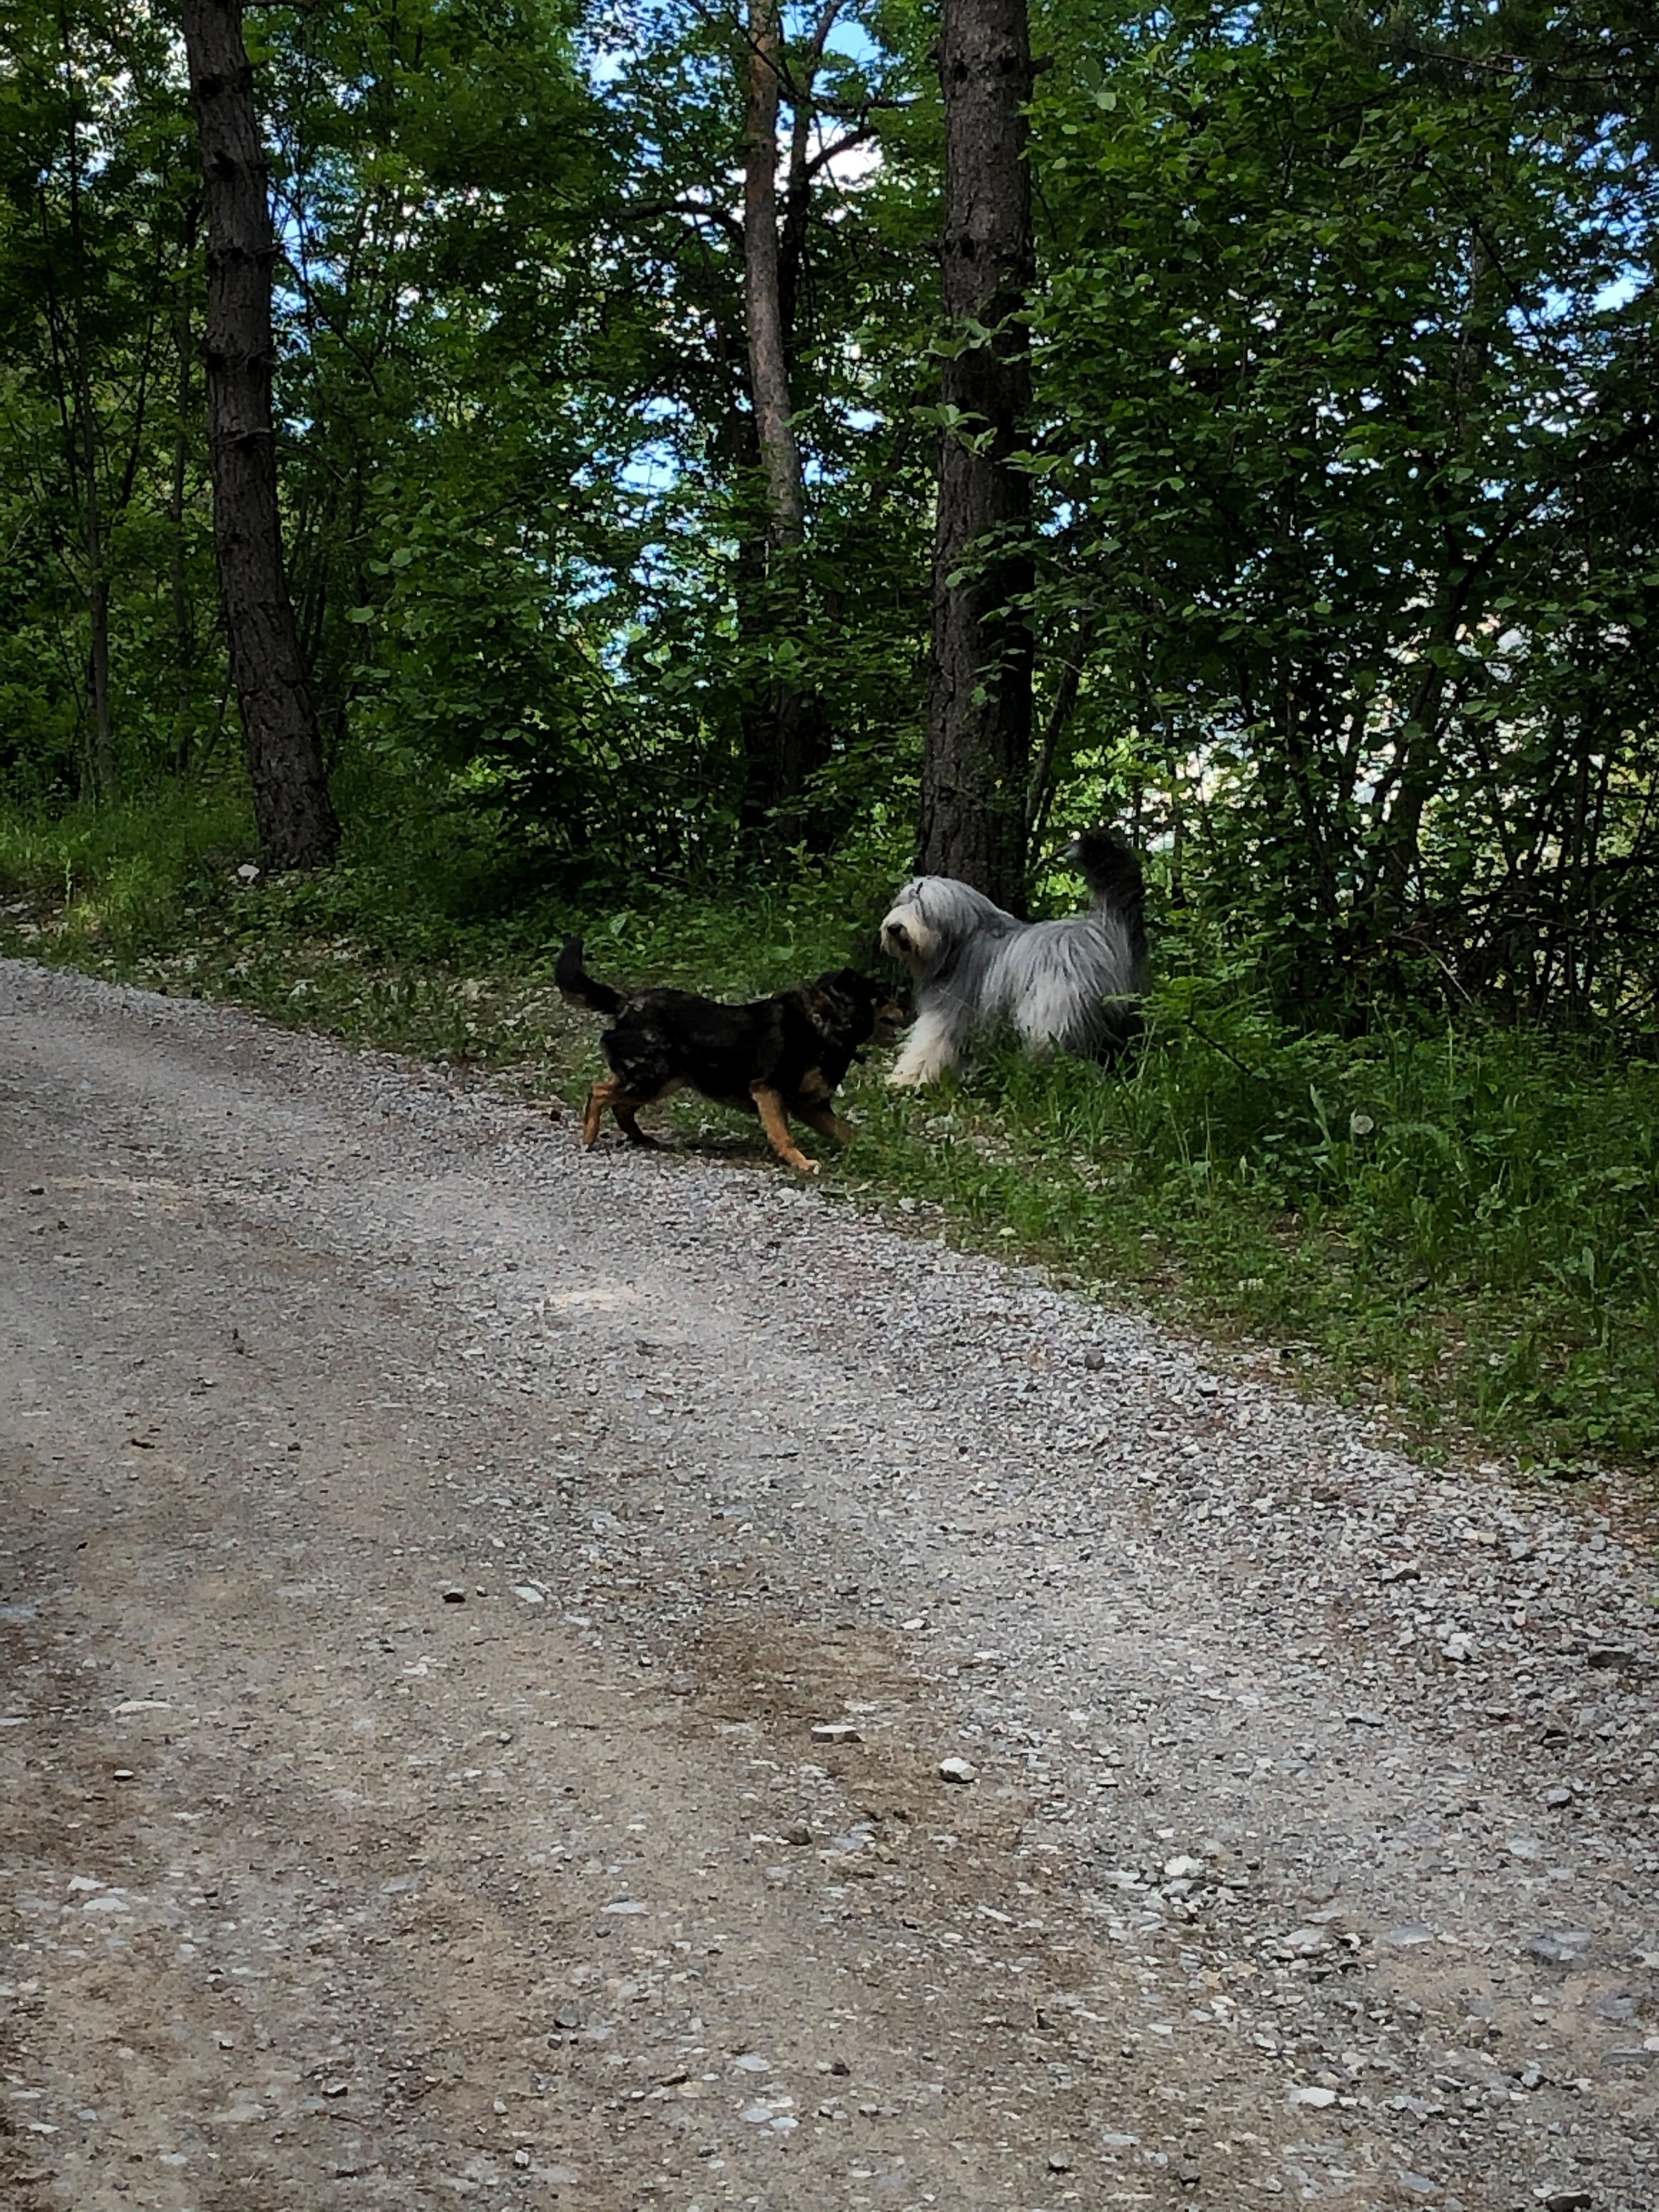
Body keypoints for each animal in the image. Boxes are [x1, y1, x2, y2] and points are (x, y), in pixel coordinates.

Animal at [555, 933, 902, 1177]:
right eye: (882, 997)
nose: (909, 1012)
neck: (825, 1022)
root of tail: (626, 1003)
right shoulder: (768, 1091)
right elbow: (784, 1137)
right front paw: (801, 1163)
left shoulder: (812, 1108)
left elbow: (851, 1133)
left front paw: (885, 1153)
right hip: (654, 1076)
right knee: (600, 1093)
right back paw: (589, 1138)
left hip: (661, 1080)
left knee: (621, 1106)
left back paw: (641, 1138)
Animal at [884, 832, 1141, 1088]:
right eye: (903, 903)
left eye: (922, 908)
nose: (894, 928)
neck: (961, 941)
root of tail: (1101, 930)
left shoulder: (950, 1007)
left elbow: (929, 1043)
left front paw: (906, 1077)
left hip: (1054, 1008)